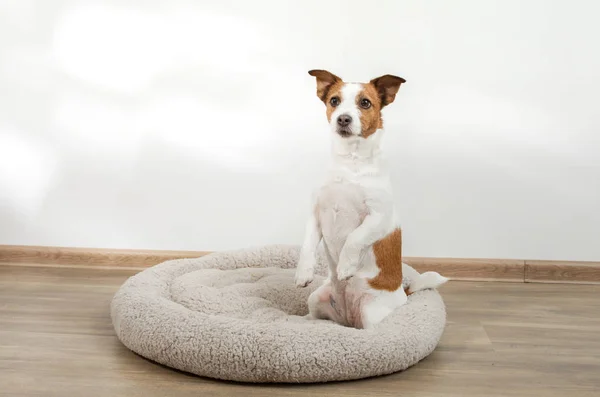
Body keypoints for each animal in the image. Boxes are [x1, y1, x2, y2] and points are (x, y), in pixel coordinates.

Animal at [292, 70, 448, 328]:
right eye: (334, 100)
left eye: (365, 103)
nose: (343, 119)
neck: (350, 161)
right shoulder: (315, 214)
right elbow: (307, 246)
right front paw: (303, 273)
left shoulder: (378, 217)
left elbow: (354, 238)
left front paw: (345, 266)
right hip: (317, 298)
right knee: (316, 316)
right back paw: (303, 320)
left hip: (369, 313)